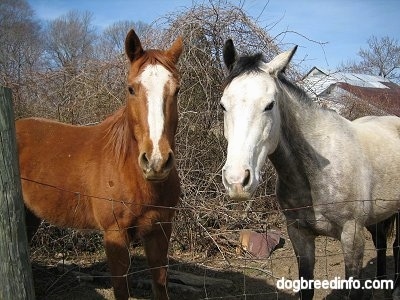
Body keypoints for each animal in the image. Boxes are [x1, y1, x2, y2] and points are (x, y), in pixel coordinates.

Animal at [16, 28, 182, 300]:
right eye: (131, 89)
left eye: (177, 90)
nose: (156, 161)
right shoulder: (115, 235)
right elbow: (121, 289)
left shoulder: (160, 230)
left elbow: (160, 284)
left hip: (29, 215)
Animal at [220, 38, 400, 298]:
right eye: (223, 105)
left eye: (269, 105)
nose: (237, 181)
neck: (314, 175)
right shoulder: (299, 235)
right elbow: (307, 287)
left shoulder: (352, 236)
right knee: (382, 244)